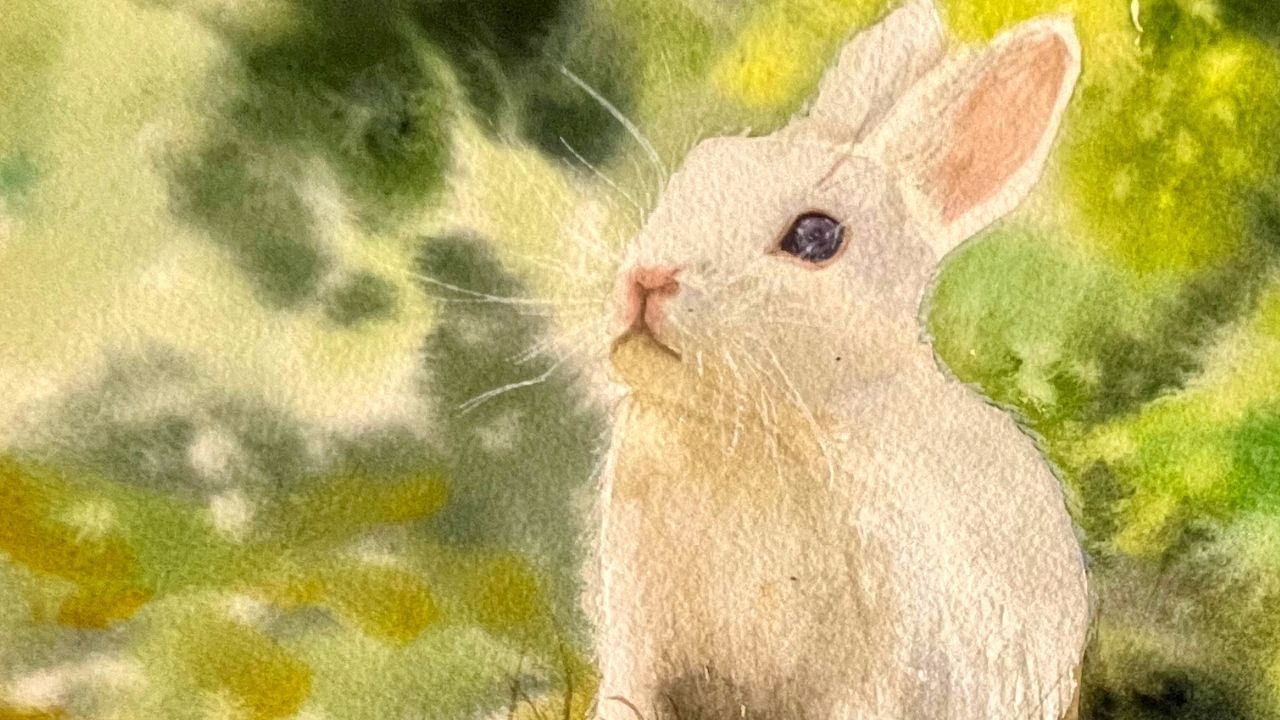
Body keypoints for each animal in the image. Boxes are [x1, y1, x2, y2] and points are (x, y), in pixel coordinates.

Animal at [587, 1, 1090, 719]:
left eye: (817, 237)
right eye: (701, 170)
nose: (648, 278)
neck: (751, 425)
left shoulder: (884, 663)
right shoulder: (638, 638)